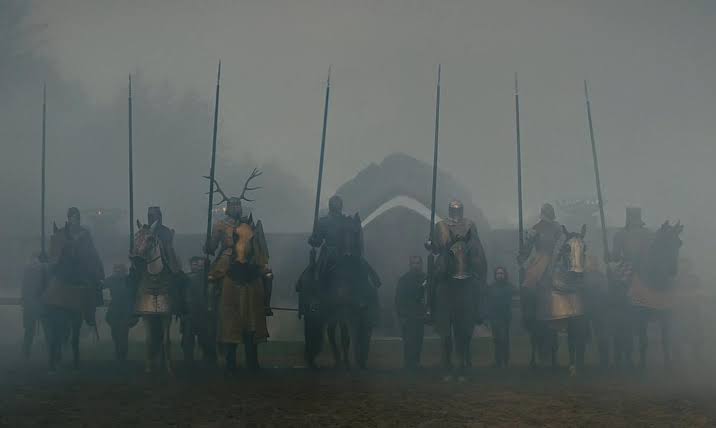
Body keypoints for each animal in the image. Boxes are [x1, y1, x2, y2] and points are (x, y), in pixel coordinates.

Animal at [131, 220, 179, 374]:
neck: (155, 280)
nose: (135, 258)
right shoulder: (147, 315)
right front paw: (148, 367)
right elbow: (149, 340)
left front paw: (169, 368)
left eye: (150, 238)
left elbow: (166, 341)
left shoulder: (166, 315)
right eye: (135, 236)